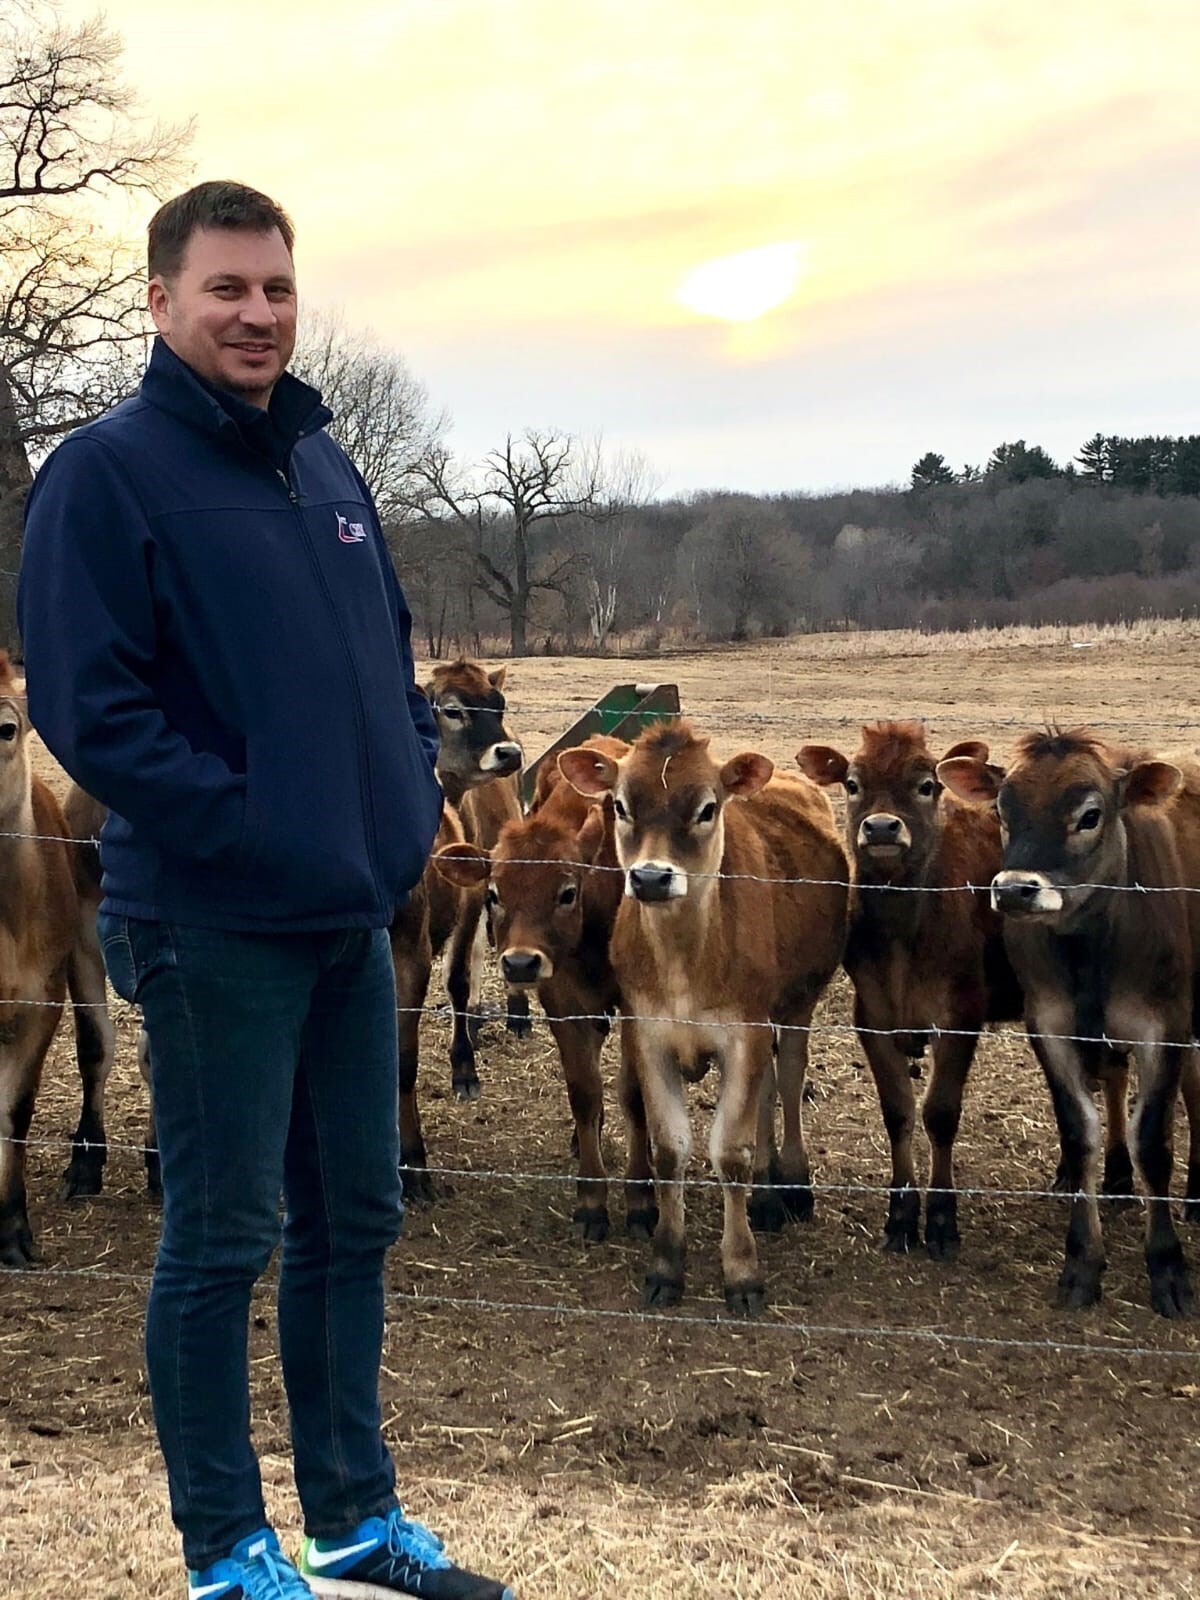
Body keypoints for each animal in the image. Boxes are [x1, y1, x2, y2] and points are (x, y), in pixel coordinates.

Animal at [435, 739, 659, 1248]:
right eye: (494, 893)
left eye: (566, 891)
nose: (520, 963)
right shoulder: (564, 1004)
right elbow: (583, 1092)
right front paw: (592, 1200)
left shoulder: (637, 1007)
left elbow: (634, 1095)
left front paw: (641, 1199)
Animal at [563, 723, 844, 1312]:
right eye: (620, 805)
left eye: (707, 808)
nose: (651, 878)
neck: (683, 961)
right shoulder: (649, 1036)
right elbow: (670, 1151)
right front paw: (667, 1264)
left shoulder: (744, 1034)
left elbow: (730, 1153)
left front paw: (741, 1272)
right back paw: (766, 1193)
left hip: (796, 1005)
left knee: (787, 1081)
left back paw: (790, 1185)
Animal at [800, 726, 1024, 1260]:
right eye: (853, 783)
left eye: (926, 786)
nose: (882, 828)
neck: (905, 934)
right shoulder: (873, 1016)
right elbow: (897, 1112)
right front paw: (901, 1216)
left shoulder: (961, 1015)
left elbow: (940, 1114)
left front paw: (941, 1219)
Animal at [947, 732, 1196, 1318]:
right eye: (1002, 811)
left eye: (1090, 815)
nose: (1015, 890)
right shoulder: (1051, 1025)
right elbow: (1080, 1132)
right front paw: (1082, 1262)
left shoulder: (1165, 1027)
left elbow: (1154, 1139)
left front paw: (1168, 1267)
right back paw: (1117, 1176)